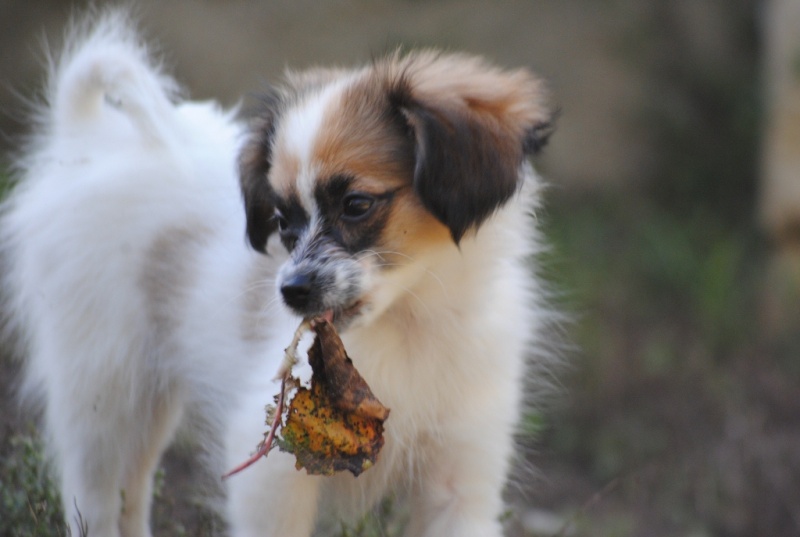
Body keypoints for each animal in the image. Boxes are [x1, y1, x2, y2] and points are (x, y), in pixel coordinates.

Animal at [1, 9, 556, 536]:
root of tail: (88, 140)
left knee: (131, 488)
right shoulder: (269, 476)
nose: (291, 291)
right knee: (93, 493)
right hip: (100, 383)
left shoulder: (462, 473)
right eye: (283, 220)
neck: (411, 320)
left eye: (356, 205)